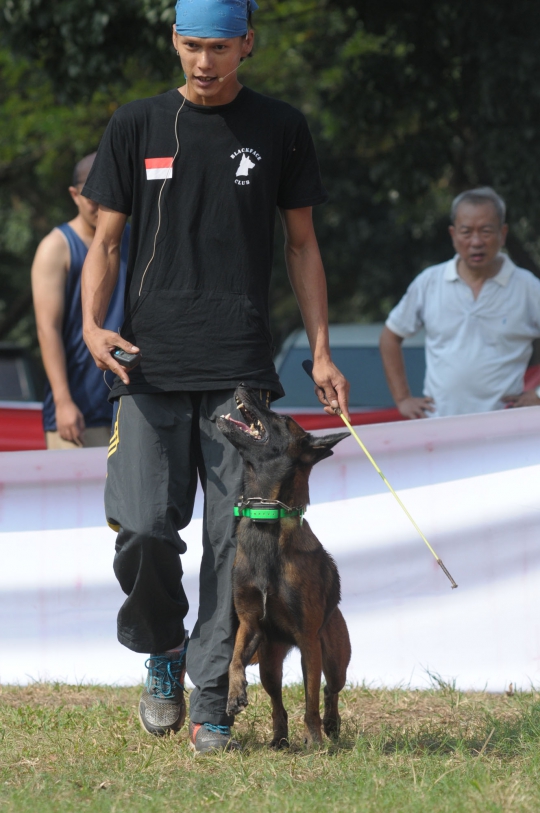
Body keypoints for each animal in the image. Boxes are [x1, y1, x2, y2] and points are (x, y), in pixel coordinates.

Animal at [217, 384, 352, 744]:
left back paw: (330, 726)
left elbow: (310, 699)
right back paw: (279, 737)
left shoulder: (308, 641)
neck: (267, 515)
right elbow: (234, 660)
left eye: (281, 418)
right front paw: (234, 693)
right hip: (269, 664)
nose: (243, 385)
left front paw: (315, 739)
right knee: (277, 701)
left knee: (331, 691)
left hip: (335, 658)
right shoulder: (249, 624)